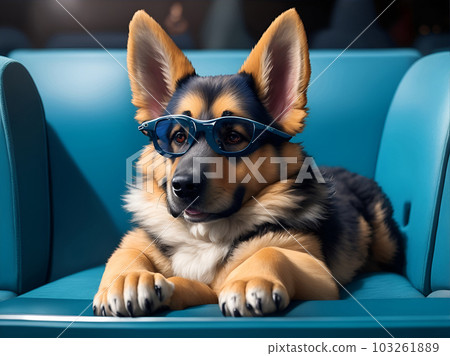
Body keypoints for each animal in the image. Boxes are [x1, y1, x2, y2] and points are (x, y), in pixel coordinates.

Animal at [92, 8, 404, 318]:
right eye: (179, 136)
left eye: (233, 137)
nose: (183, 187)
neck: (206, 235)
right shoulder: (139, 243)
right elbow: (130, 253)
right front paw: (129, 279)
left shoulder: (318, 273)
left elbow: (271, 251)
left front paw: (248, 280)